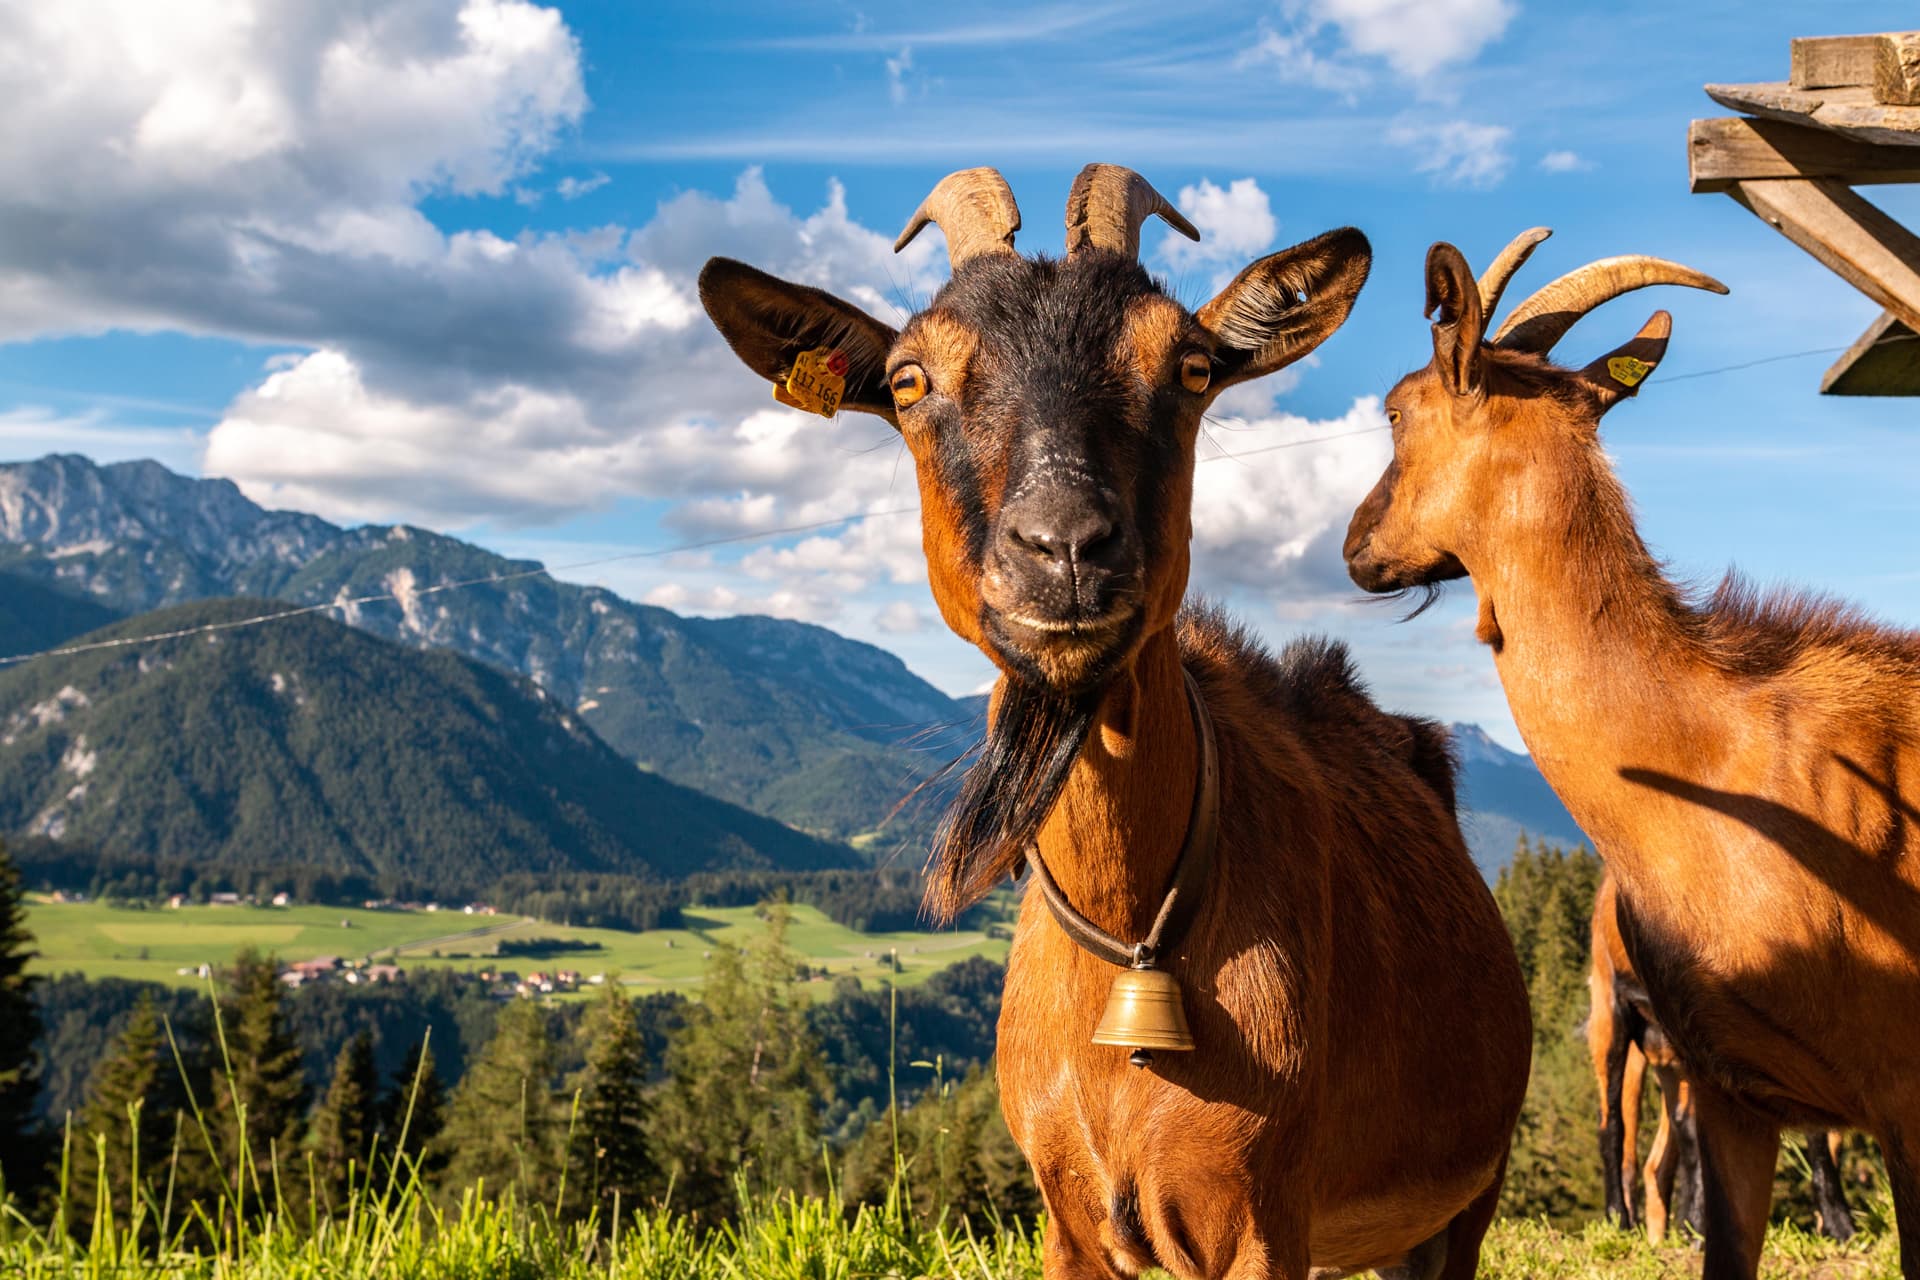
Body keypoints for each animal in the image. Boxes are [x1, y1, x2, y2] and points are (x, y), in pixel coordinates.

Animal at [701, 166, 1531, 1280]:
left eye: (1189, 364)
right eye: (910, 382)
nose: (1063, 547)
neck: (1129, 939)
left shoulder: (1263, 1218)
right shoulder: (1070, 1216)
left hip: (1464, 1198)